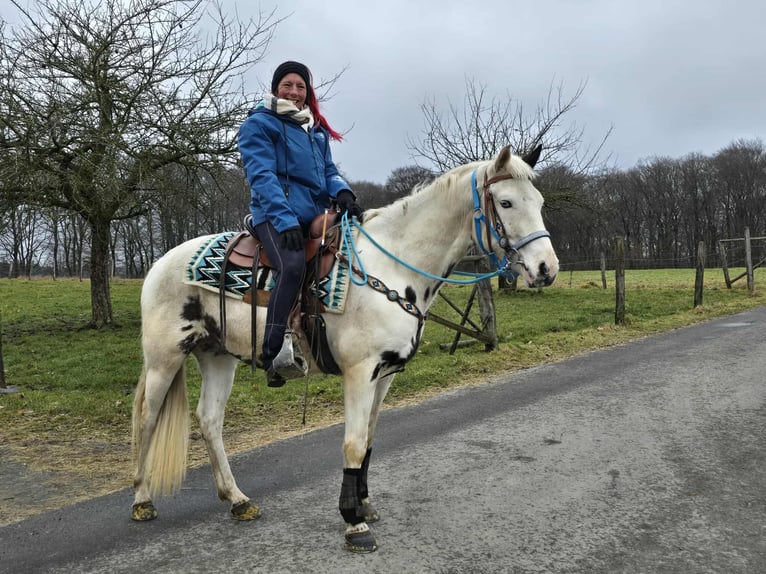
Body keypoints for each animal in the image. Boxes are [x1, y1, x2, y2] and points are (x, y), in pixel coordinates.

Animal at [130, 144, 559, 553]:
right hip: (165, 358)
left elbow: (367, 441)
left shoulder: (385, 375)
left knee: (209, 420)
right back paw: (142, 500)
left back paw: (237, 499)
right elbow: (352, 446)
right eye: (506, 202)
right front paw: (354, 523)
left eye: (538, 201)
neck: (391, 268)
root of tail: (161, 262)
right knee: (148, 418)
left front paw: (364, 505)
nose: (547, 269)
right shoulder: (360, 373)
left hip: (218, 357)